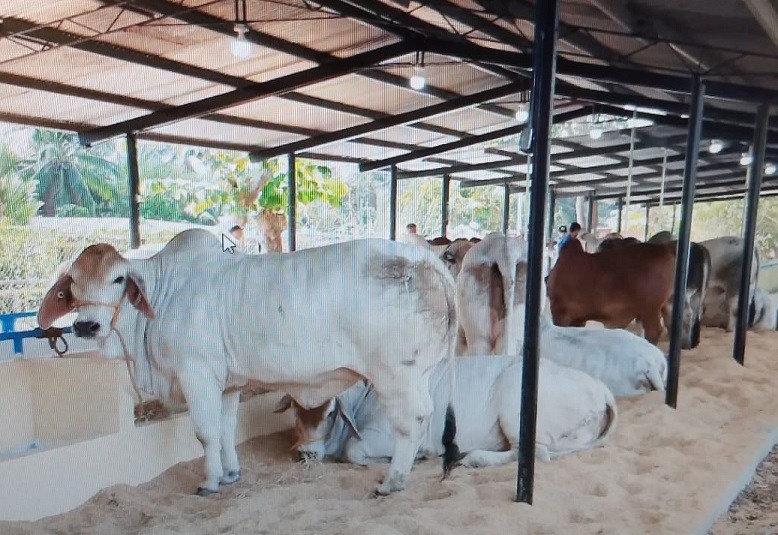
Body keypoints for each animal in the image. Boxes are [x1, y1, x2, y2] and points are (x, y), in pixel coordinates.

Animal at [36, 228, 458, 496]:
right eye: (72, 283)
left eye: (119, 279)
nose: (86, 325)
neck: (166, 292)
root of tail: (425, 260)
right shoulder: (228, 384)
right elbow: (225, 430)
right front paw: (230, 474)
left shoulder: (196, 374)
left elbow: (206, 432)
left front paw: (209, 483)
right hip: (419, 373)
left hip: (395, 374)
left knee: (412, 420)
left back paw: (393, 481)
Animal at [276, 356, 616, 468]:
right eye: (294, 408)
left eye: (331, 413)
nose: (306, 453)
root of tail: (602, 389)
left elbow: (353, 451)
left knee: (534, 452)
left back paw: (475, 459)